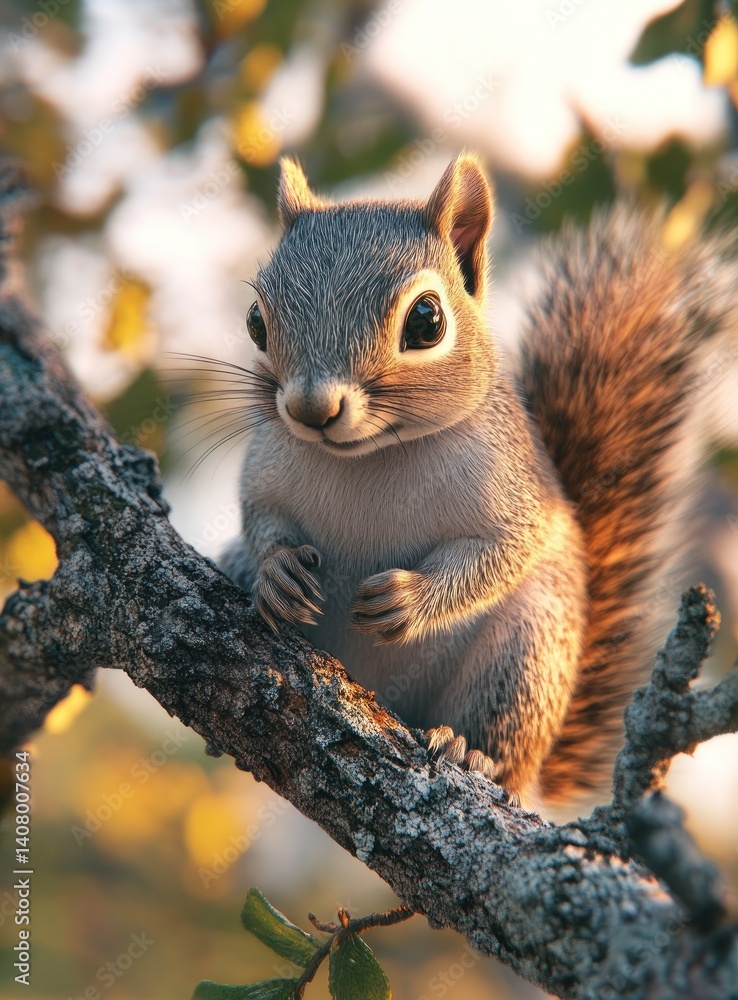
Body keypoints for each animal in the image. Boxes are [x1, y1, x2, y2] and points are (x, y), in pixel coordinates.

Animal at [219, 153, 734, 809]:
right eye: (256, 321)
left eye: (426, 321)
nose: (312, 410)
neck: (370, 460)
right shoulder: (265, 468)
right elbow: (259, 520)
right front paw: (278, 572)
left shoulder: (517, 491)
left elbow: (504, 552)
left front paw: (410, 600)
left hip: (524, 658)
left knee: (503, 741)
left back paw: (472, 753)